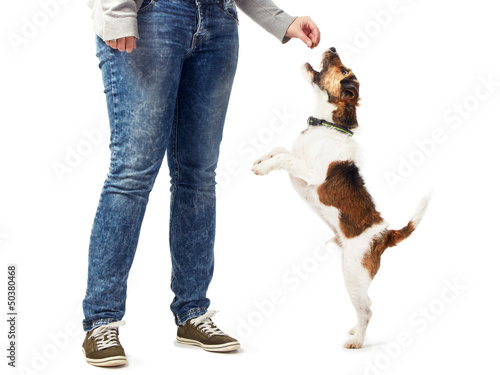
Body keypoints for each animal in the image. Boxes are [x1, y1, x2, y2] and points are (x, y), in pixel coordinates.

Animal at [254, 47, 430, 350]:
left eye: (345, 69)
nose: (332, 48)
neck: (326, 125)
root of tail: (385, 234)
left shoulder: (310, 172)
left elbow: (283, 158)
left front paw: (263, 168)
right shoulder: (296, 156)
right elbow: (279, 149)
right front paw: (260, 159)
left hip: (353, 274)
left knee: (368, 308)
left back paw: (357, 341)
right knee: (364, 308)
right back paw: (354, 330)